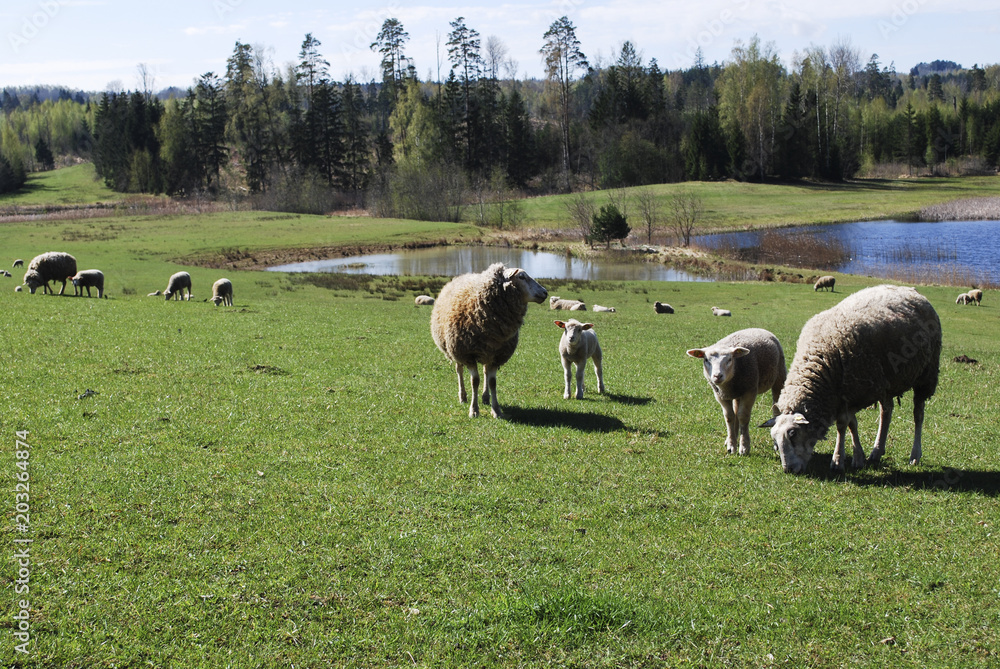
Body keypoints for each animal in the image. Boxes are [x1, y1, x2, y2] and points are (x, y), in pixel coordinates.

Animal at [431, 263, 548, 419]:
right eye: (521, 277)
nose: (545, 292)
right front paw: (474, 410)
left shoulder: (497, 356)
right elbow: (475, 381)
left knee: (485, 371)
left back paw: (486, 398)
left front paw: (496, 410)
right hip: (454, 350)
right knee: (459, 370)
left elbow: (492, 382)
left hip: (488, 351)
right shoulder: (468, 354)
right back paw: (463, 396)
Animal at [762, 285, 941, 474]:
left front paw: (838, 460)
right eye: (775, 440)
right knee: (886, 411)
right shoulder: (847, 394)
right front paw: (858, 457)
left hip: (926, 375)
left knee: (918, 414)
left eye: (793, 434)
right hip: (886, 382)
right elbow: (852, 424)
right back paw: (877, 451)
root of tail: (910, 290)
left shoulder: (854, 390)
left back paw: (915, 455)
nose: (788, 469)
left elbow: (842, 425)